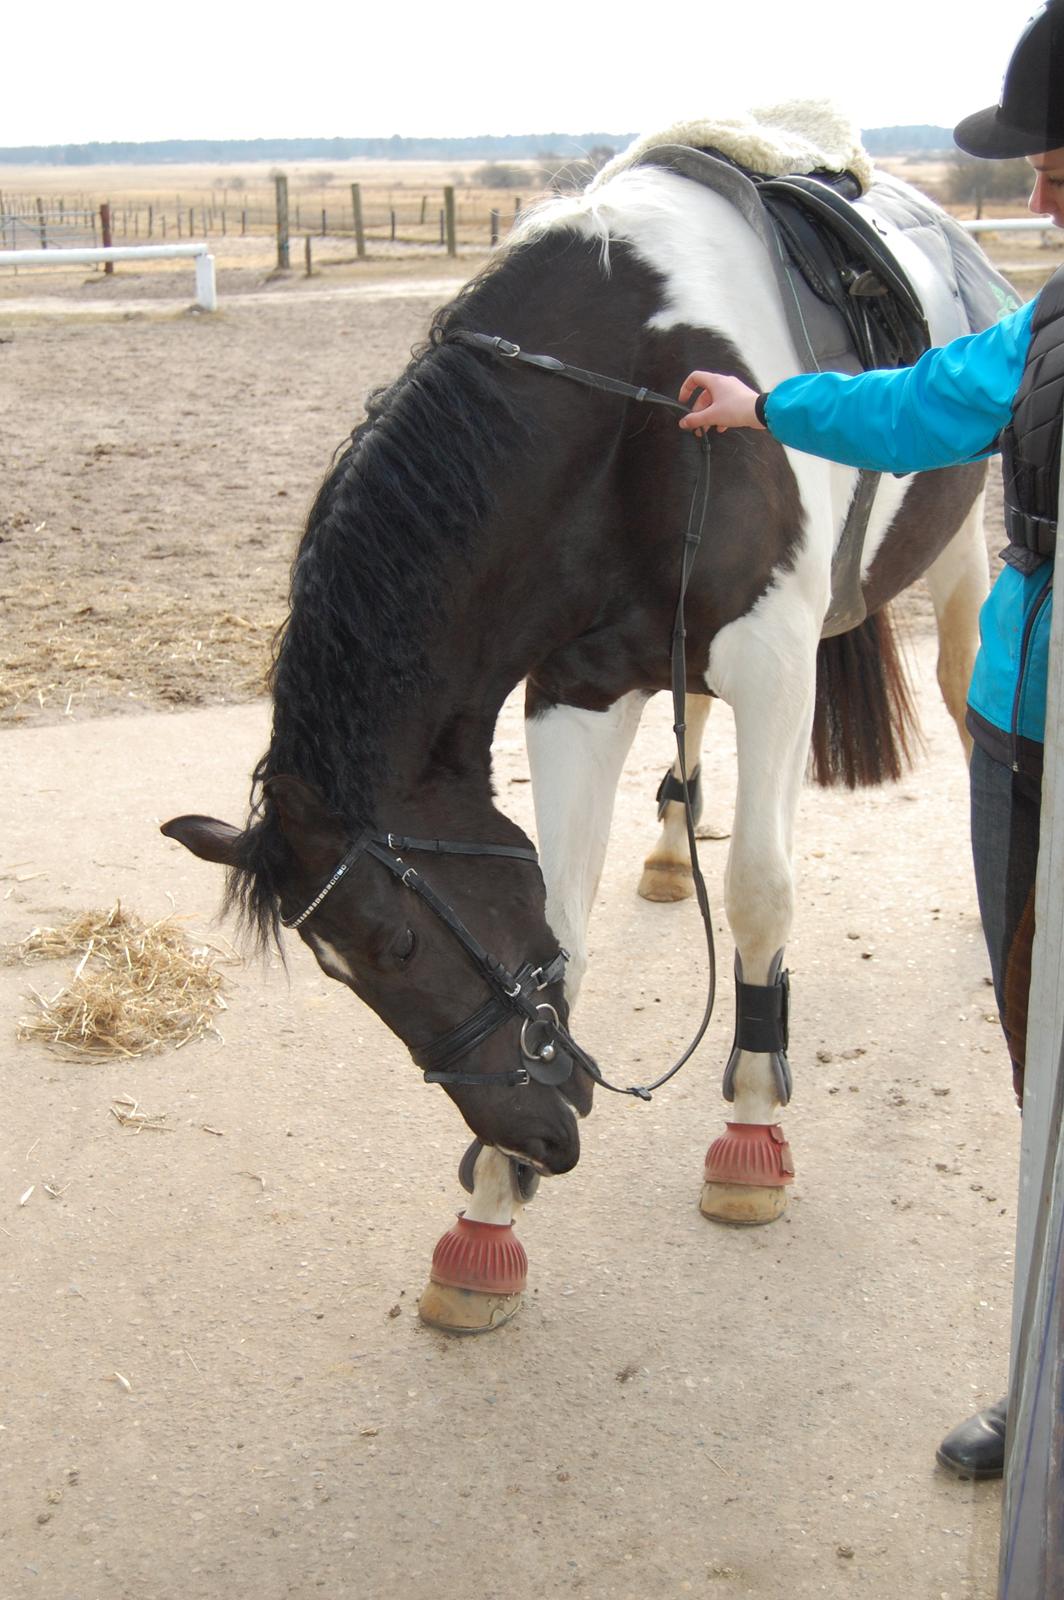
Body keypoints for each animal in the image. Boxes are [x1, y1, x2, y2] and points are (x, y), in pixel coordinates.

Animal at [164, 147, 985, 1324]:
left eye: (397, 944)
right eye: (339, 974)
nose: (540, 1135)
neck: (632, 393)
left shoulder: (773, 661)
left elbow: (760, 896)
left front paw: (749, 1123)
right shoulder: (580, 688)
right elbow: (560, 924)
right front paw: (490, 1207)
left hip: (963, 551)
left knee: (971, 693)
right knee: (690, 731)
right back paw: (669, 851)